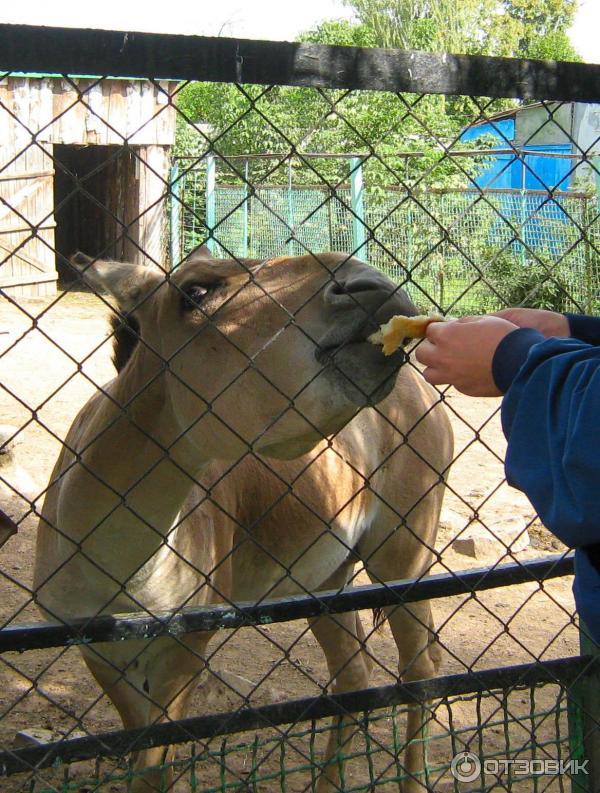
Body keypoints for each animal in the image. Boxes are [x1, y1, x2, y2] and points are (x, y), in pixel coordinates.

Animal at [34, 249, 450, 792]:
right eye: (194, 292)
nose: (375, 285)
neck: (117, 572)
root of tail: (421, 389)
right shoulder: (98, 651)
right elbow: (141, 750)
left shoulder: (188, 643)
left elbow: (157, 761)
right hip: (326, 579)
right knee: (354, 674)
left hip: (402, 556)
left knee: (421, 667)